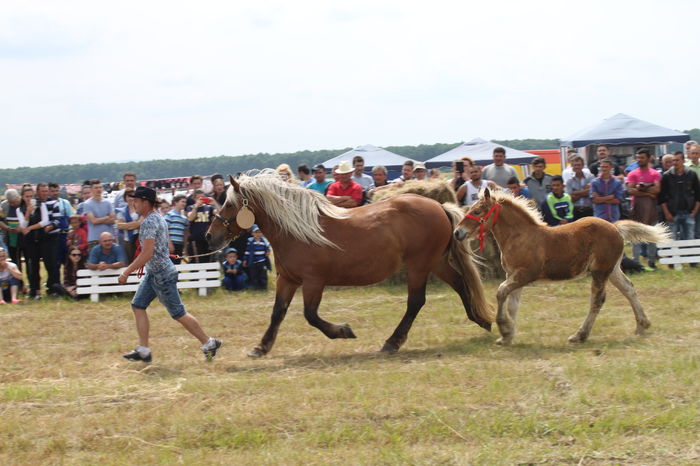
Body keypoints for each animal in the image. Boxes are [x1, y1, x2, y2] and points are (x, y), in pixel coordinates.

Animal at [206, 172, 494, 357]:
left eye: (229, 204)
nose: (210, 236)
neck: (297, 231)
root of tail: (439, 205)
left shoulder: (313, 282)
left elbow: (310, 315)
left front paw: (343, 331)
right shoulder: (287, 280)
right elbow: (277, 313)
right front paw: (261, 347)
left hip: (419, 266)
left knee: (416, 302)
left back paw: (392, 342)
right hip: (436, 263)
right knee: (461, 284)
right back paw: (481, 319)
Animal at [453, 188, 670, 346]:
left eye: (477, 211)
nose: (457, 232)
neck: (520, 237)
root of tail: (616, 228)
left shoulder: (524, 275)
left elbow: (500, 292)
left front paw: (504, 328)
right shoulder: (514, 276)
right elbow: (512, 304)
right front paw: (507, 336)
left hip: (600, 272)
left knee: (597, 300)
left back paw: (580, 335)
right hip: (613, 270)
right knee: (629, 289)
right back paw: (642, 325)